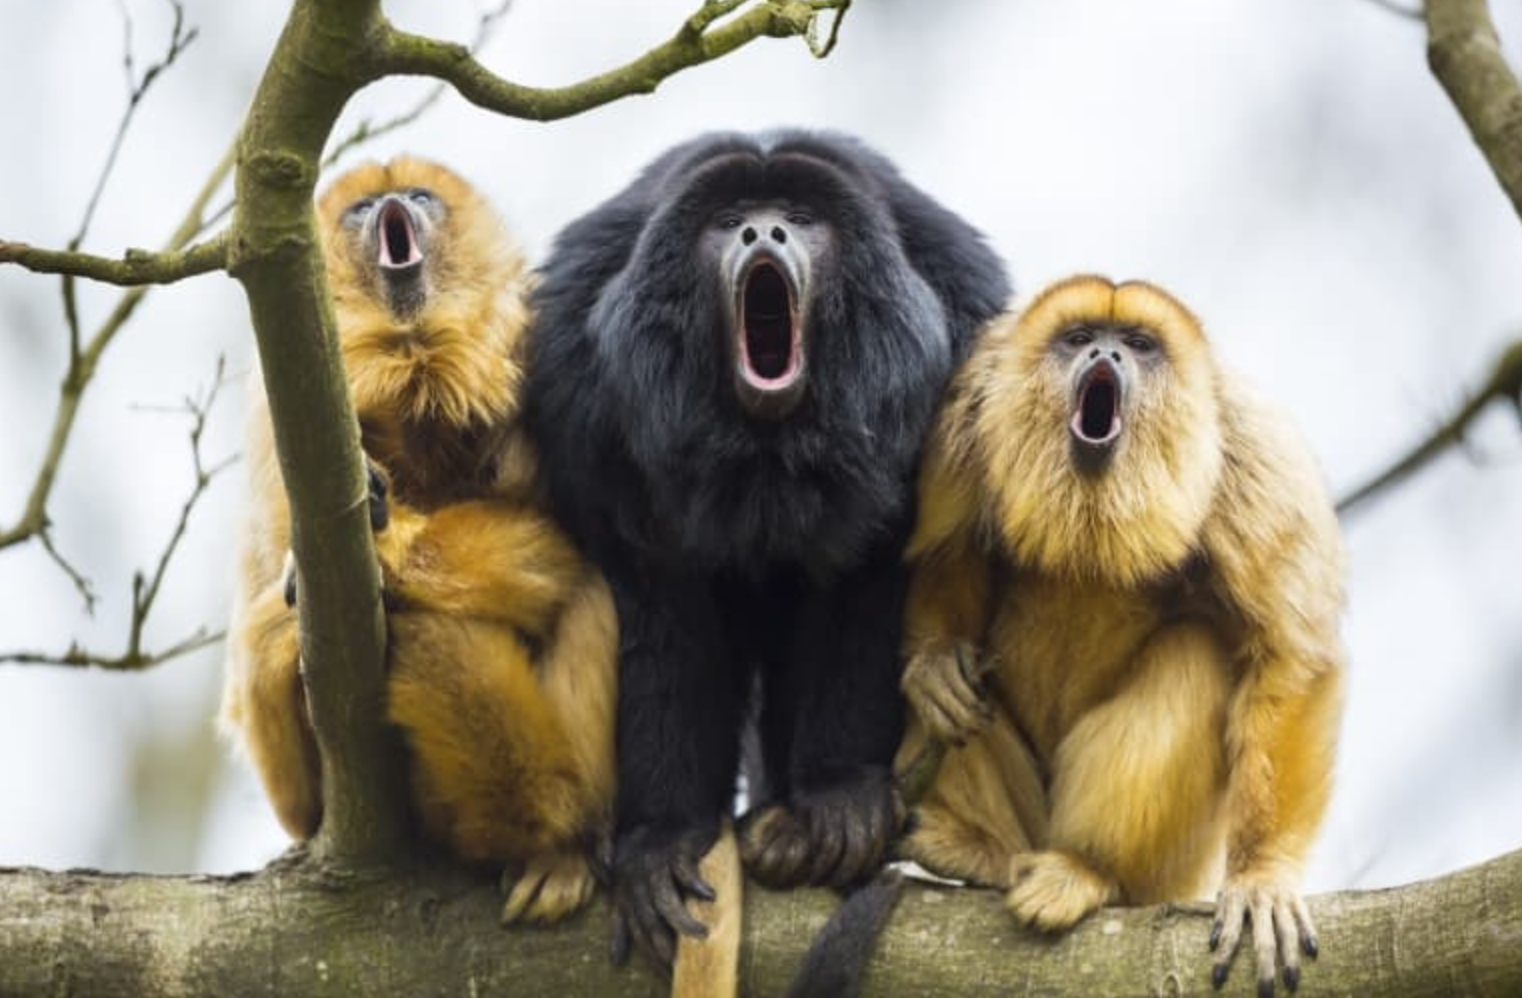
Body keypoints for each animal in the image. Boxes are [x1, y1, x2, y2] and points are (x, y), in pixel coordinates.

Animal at [221, 157, 618, 925]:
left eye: (420, 197)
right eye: (363, 208)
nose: (393, 206)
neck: (416, 358)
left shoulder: (536, 343)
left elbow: (583, 542)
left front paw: (392, 551)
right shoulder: (277, 419)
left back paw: (562, 843)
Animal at [524, 130, 1010, 970]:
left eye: (802, 220)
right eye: (728, 224)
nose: (763, 232)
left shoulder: (958, 336)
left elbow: (870, 585)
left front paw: (839, 794)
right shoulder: (577, 382)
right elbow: (656, 605)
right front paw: (666, 838)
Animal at [896, 276, 1345, 996]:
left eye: (1137, 344)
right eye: (1079, 338)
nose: (1105, 354)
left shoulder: (1255, 456)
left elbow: (1291, 657)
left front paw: (1262, 877)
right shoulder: (965, 408)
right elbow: (945, 552)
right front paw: (937, 665)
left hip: (1173, 871)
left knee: (1194, 654)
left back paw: (1088, 870)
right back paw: (981, 851)